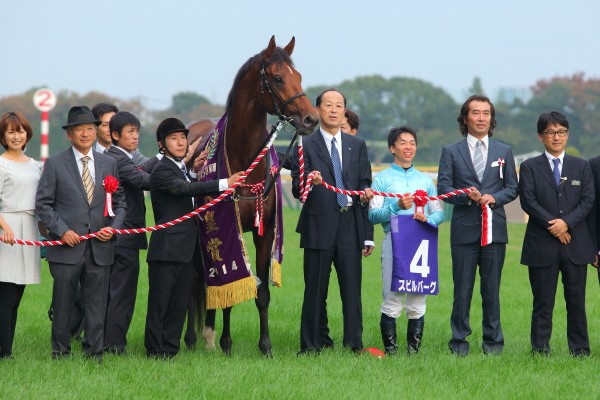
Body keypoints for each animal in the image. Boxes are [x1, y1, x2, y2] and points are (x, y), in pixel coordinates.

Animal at [189, 36, 318, 356]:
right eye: (277, 78)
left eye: (299, 76)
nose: (311, 119)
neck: (245, 161)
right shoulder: (227, 228)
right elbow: (229, 289)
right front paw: (224, 343)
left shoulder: (266, 232)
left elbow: (261, 292)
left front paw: (265, 346)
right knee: (198, 279)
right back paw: (198, 337)